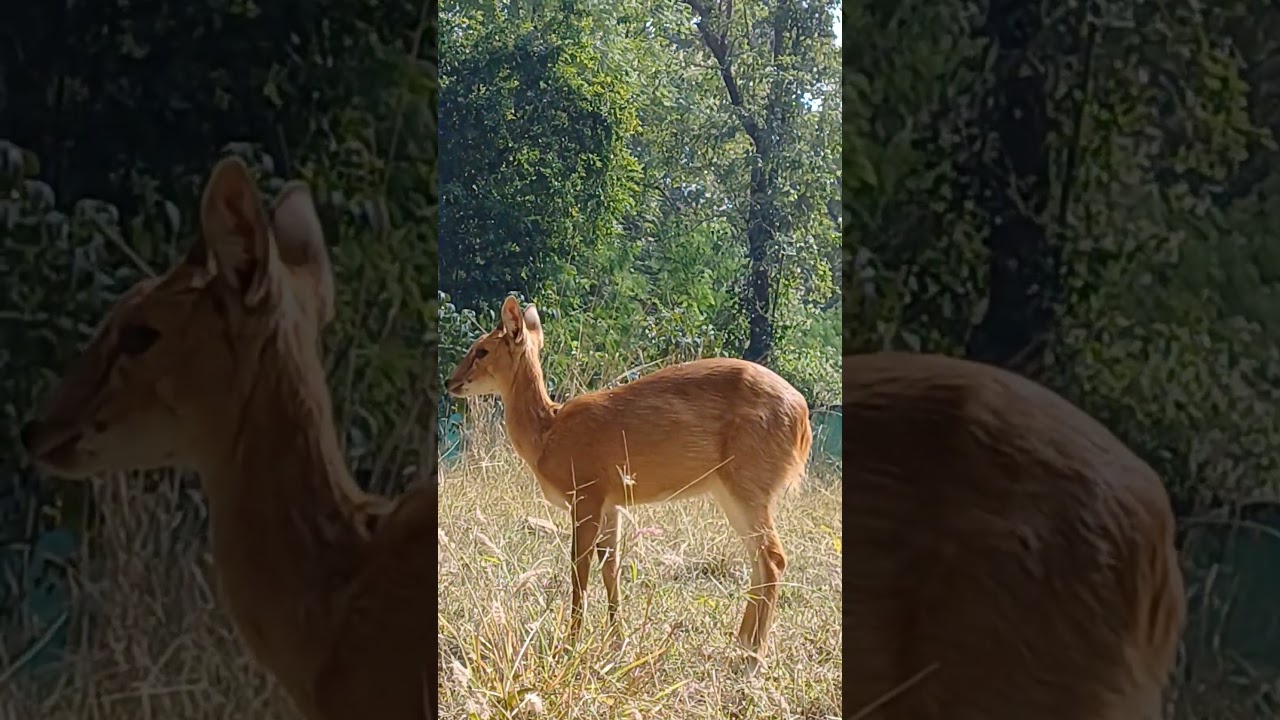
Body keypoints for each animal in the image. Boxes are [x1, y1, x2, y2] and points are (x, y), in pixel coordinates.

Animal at [444, 296, 812, 668]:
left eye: (482, 349)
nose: (450, 381)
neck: (548, 434)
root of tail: (803, 418)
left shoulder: (586, 494)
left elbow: (579, 569)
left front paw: (570, 646)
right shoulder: (612, 503)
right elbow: (611, 569)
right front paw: (616, 644)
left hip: (748, 482)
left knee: (773, 558)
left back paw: (754, 658)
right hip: (731, 489)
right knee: (758, 560)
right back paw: (740, 645)